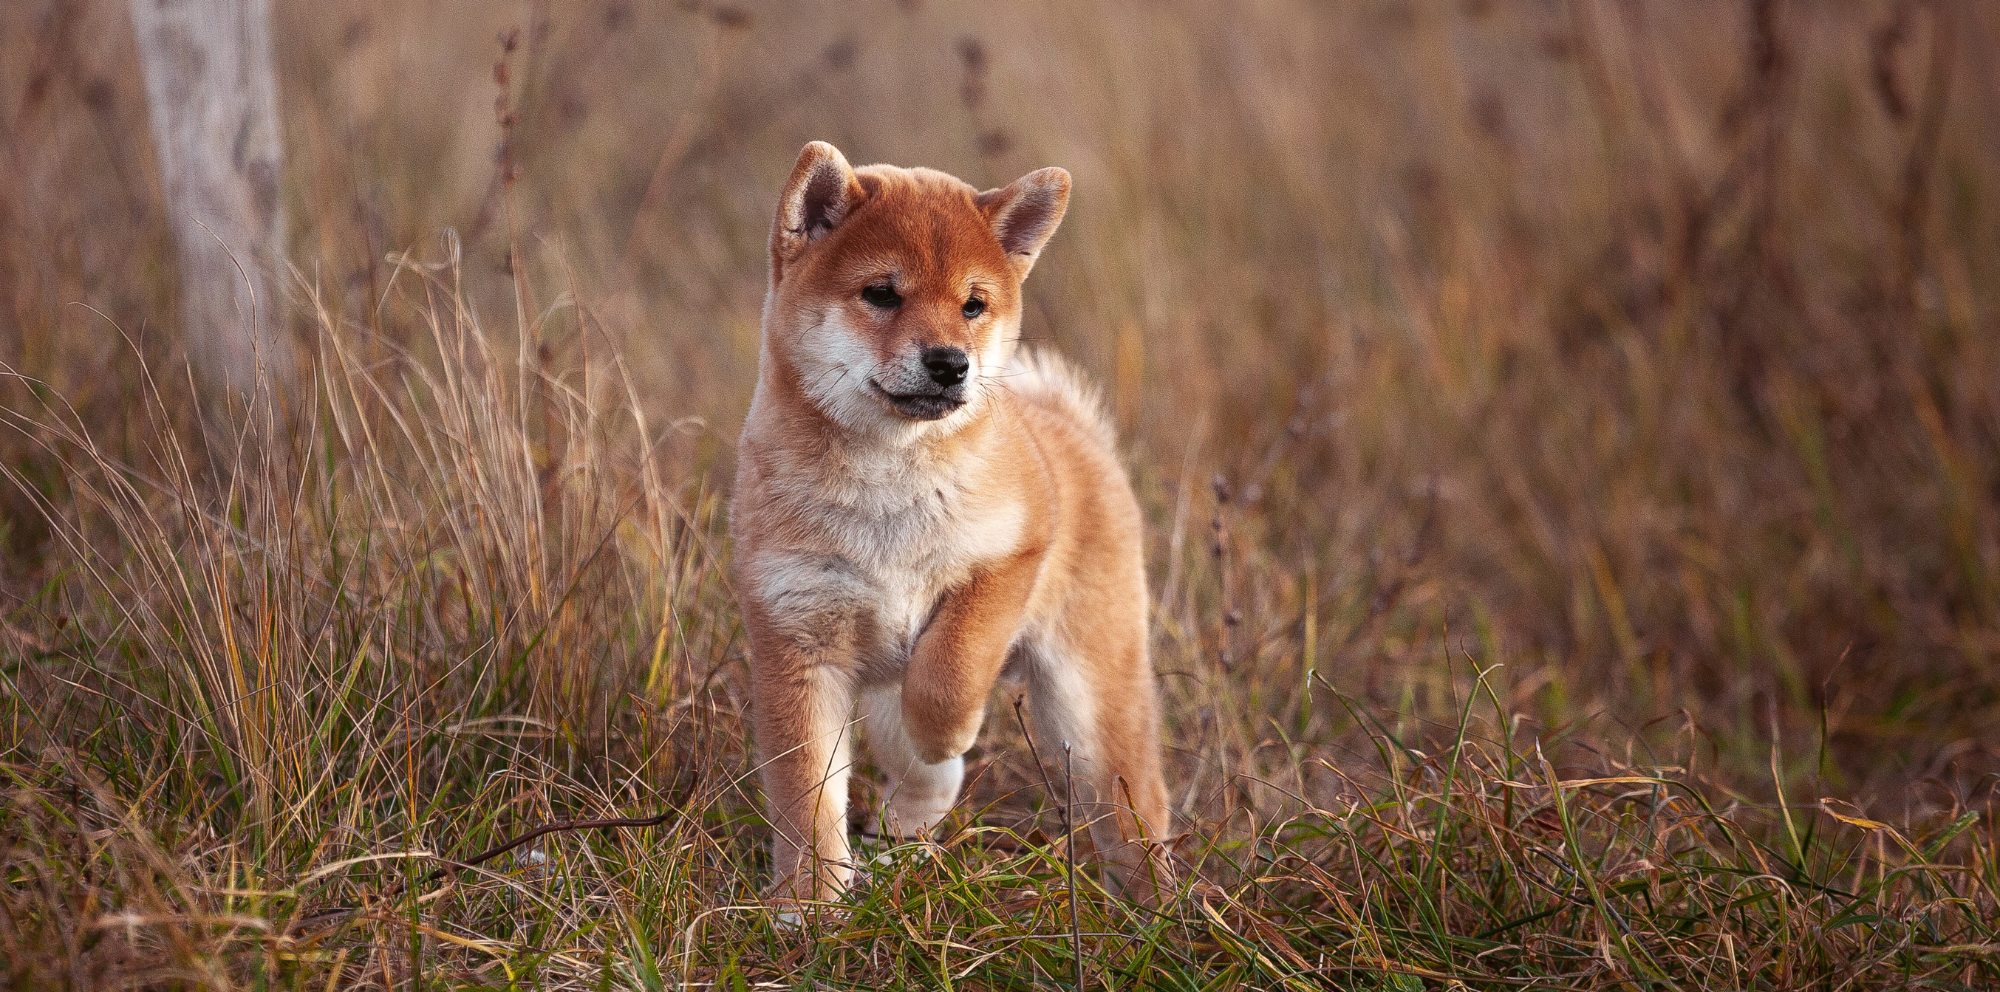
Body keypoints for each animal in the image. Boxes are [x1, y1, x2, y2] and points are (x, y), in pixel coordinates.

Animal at [732, 141, 1168, 908]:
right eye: (882, 293)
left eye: (972, 305)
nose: (949, 363)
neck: (887, 489)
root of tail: (1073, 431)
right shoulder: (796, 641)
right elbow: (806, 799)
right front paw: (808, 908)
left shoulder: (1008, 559)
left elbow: (949, 673)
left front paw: (946, 729)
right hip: (880, 698)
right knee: (930, 781)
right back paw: (898, 842)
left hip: (1091, 710)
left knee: (1137, 812)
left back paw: (1166, 913)